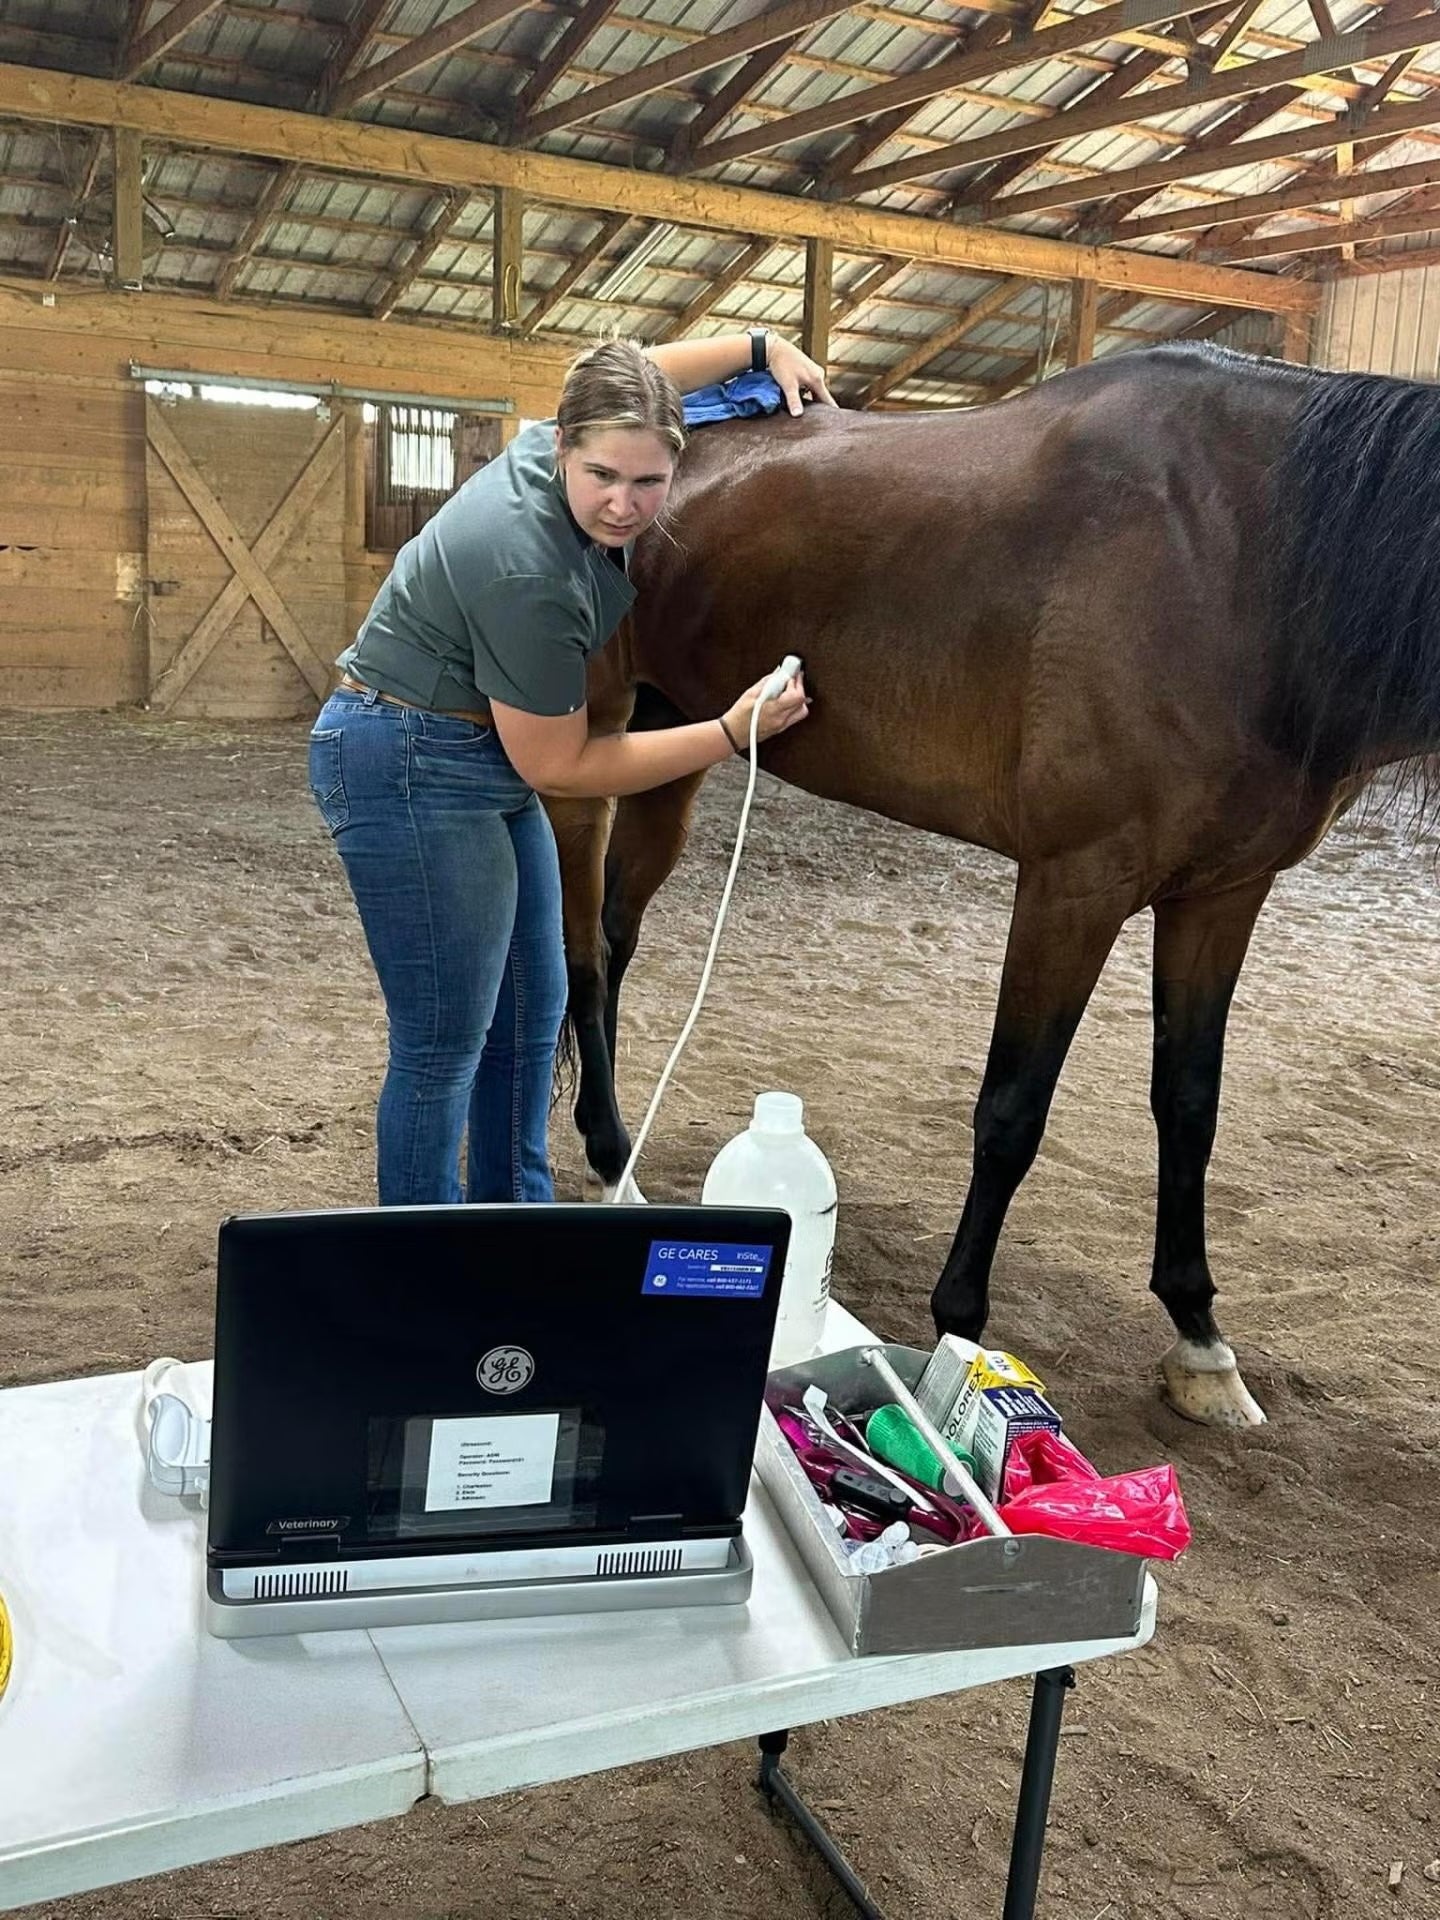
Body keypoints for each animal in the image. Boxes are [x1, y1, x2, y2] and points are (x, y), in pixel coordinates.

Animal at [545, 342, 1440, 1428]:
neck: (1248, 559)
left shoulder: (1224, 895)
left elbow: (1190, 1104)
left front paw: (1198, 1337)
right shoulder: (1074, 886)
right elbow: (1013, 1110)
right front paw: (958, 1326)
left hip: (674, 744)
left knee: (617, 939)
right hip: (588, 749)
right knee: (583, 956)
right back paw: (606, 1158)